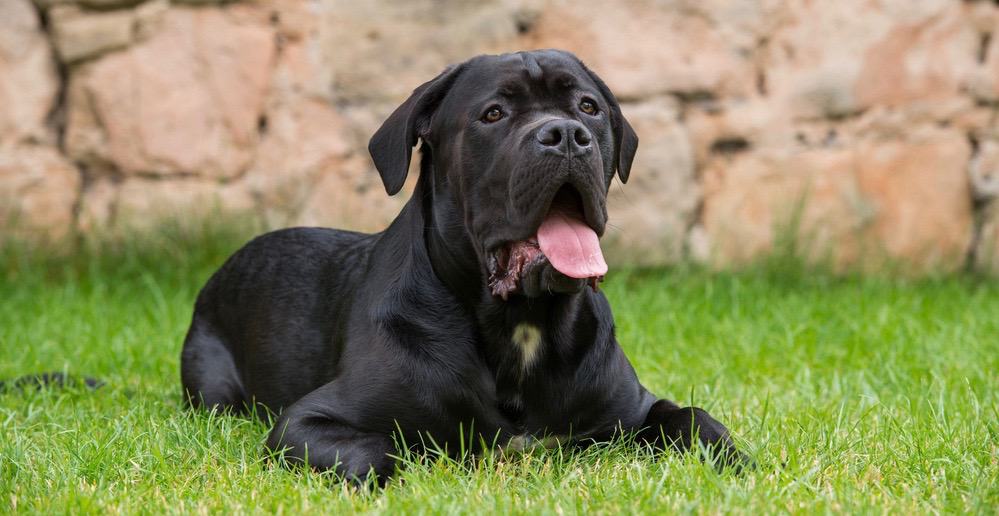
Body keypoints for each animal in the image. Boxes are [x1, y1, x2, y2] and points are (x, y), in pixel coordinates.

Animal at [180, 50, 744, 482]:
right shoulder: (305, 421)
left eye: (589, 107)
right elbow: (376, 450)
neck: (522, 323)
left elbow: (692, 418)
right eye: (493, 114)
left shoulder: (633, 409)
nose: (566, 134)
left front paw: (735, 460)